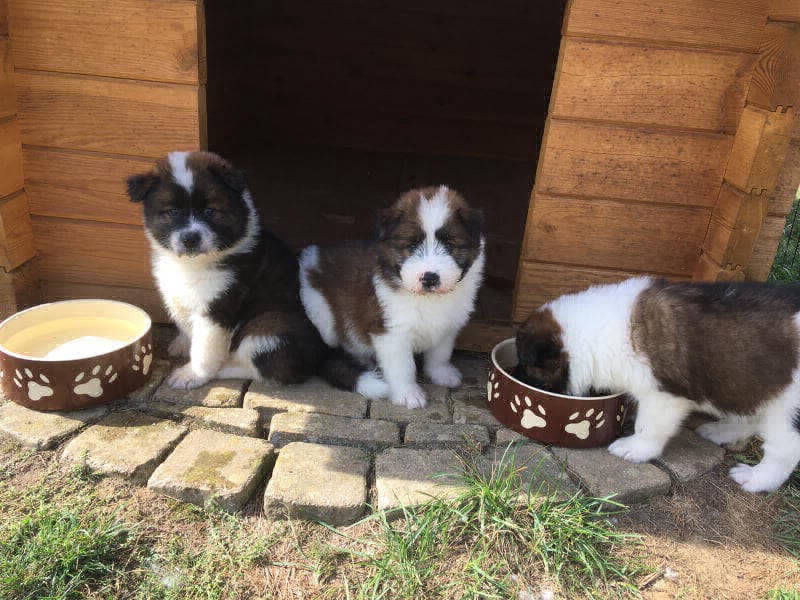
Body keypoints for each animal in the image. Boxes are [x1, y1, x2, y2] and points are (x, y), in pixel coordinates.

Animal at [127, 151, 325, 389]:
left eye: (210, 211)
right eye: (172, 212)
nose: (190, 238)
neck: (193, 263)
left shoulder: (216, 307)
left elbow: (203, 348)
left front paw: (192, 374)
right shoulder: (178, 294)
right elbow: (184, 322)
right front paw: (181, 343)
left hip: (268, 328)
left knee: (264, 369)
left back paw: (223, 368)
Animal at [299, 186, 485, 408]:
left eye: (449, 246)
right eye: (411, 246)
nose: (430, 277)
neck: (426, 298)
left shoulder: (448, 325)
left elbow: (440, 353)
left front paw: (441, 374)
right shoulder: (391, 332)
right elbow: (402, 367)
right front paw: (407, 394)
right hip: (322, 317)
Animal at [515, 277, 800, 493]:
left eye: (527, 367)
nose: (515, 376)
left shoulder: (663, 396)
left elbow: (647, 426)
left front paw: (634, 449)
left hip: (788, 410)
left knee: (784, 450)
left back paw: (756, 479)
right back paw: (723, 431)